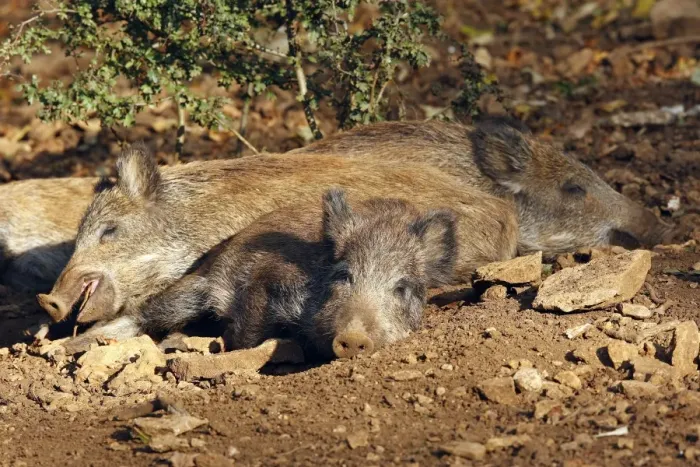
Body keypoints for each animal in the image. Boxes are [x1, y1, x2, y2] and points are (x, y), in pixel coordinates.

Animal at [138, 189, 458, 359]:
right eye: (343, 275)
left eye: (401, 288)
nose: (354, 337)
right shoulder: (266, 280)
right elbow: (248, 332)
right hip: (188, 292)